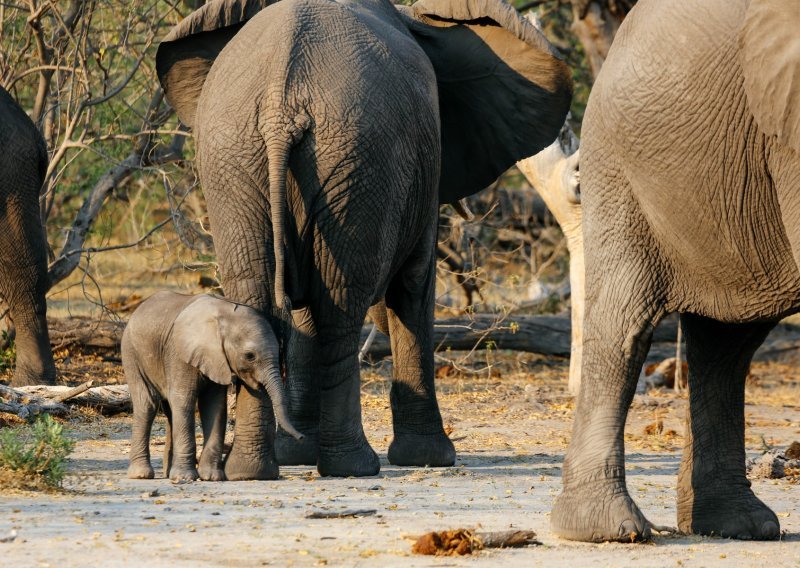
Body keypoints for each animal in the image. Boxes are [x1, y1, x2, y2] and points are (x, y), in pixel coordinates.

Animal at [123, 290, 302, 482]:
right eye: (250, 356)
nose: (301, 437)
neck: (225, 316)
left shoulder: (217, 359)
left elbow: (214, 405)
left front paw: (211, 476)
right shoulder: (180, 353)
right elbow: (184, 401)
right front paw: (186, 477)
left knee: (169, 410)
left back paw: (167, 473)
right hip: (131, 353)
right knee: (147, 404)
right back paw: (141, 475)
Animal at [155, 0, 568, 480]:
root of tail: (281, 104)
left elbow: (307, 313)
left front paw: (296, 453)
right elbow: (412, 288)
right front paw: (431, 459)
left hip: (244, 157)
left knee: (260, 296)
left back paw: (252, 471)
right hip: (355, 158)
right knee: (341, 305)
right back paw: (354, 465)